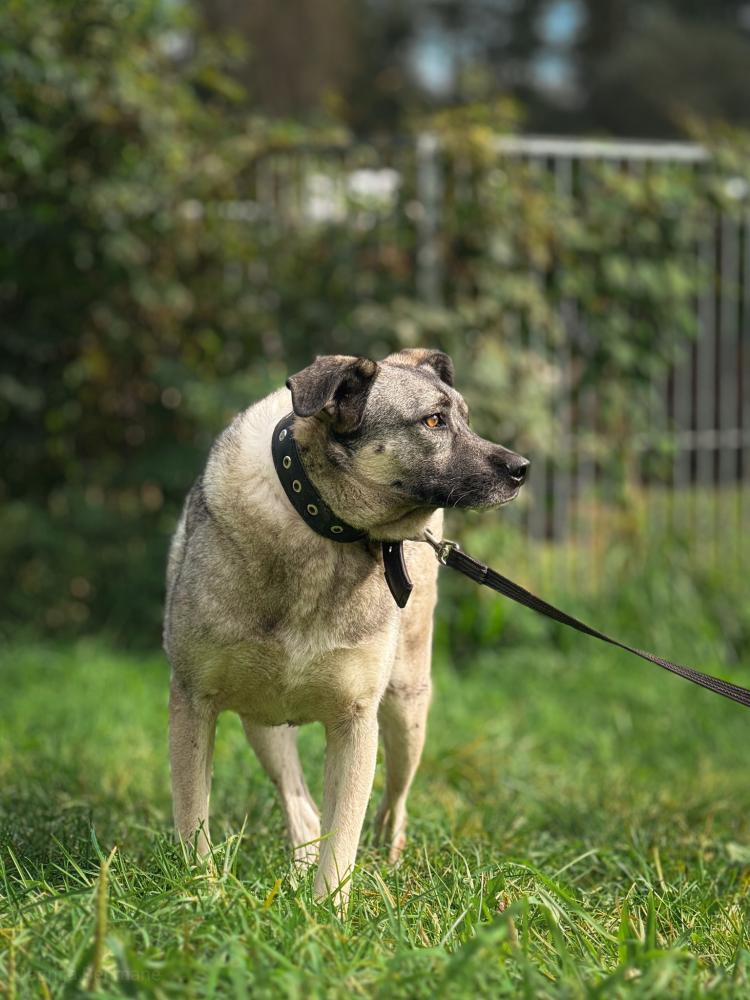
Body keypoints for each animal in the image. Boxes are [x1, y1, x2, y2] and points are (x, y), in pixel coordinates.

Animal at [163, 348, 529, 908]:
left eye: (465, 418)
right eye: (433, 421)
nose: (522, 469)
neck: (319, 521)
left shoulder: (356, 722)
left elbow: (343, 842)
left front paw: (325, 916)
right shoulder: (193, 702)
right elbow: (192, 819)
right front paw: (200, 898)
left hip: (406, 711)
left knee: (392, 805)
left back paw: (387, 858)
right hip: (262, 726)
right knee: (302, 809)